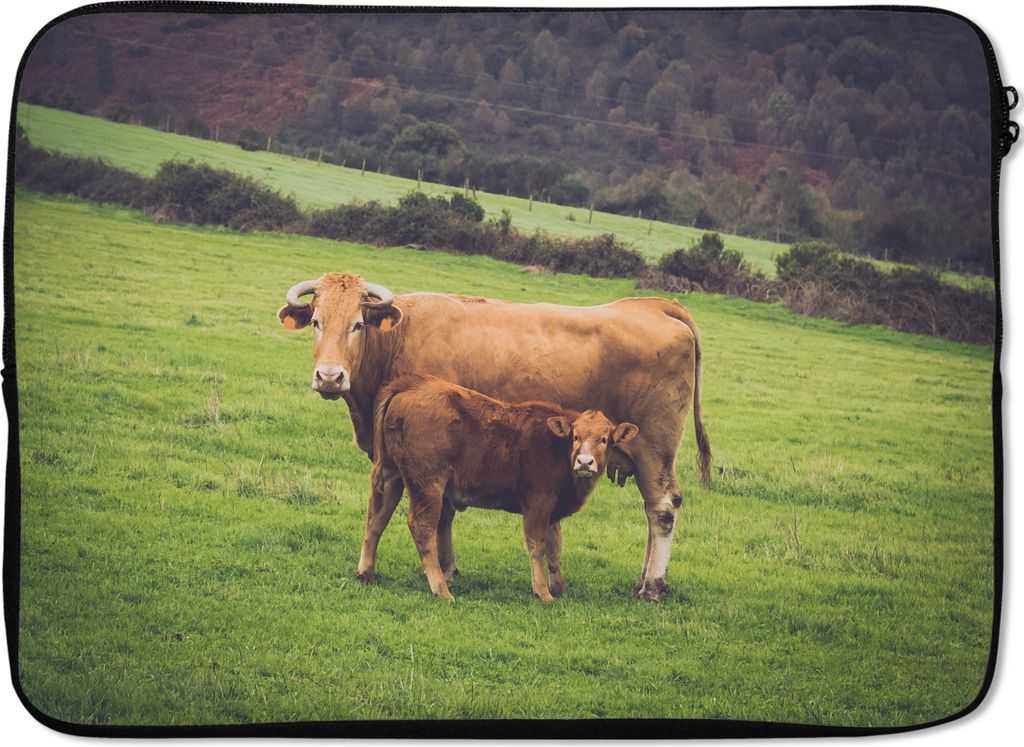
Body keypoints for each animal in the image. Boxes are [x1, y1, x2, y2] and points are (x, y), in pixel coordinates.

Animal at [373, 375, 639, 601]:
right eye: (575, 436)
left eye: (604, 439)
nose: (585, 462)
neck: (556, 447)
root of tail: (410, 387)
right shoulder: (538, 504)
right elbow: (537, 545)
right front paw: (543, 591)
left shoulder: (553, 511)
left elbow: (555, 548)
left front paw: (559, 587)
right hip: (428, 486)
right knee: (423, 527)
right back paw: (441, 588)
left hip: (391, 474)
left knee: (378, 517)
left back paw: (367, 572)